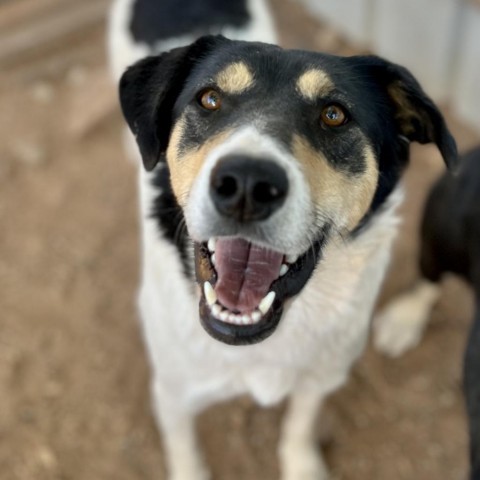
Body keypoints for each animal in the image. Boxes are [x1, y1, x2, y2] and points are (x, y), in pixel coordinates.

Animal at [109, 1, 458, 478]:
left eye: (335, 114)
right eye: (209, 99)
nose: (246, 184)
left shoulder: (321, 376)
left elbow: (299, 427)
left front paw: (302, 465)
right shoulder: (173, 392)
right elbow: (185, 451)